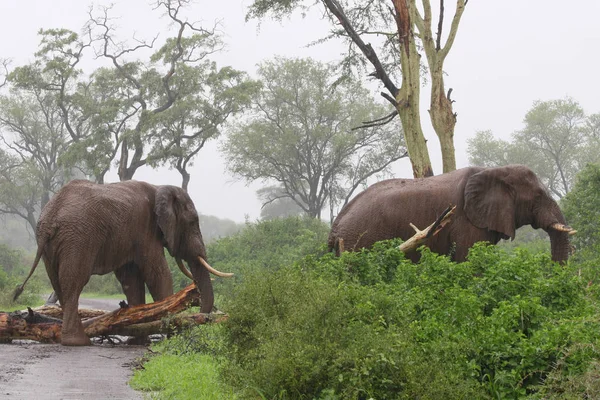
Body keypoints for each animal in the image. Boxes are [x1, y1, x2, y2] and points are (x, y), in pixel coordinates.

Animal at [12, 180, 232, 346]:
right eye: (193, 222)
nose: (203, 315)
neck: (159, 187)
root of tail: (50, 215)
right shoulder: (146, 228)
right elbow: (157, 272)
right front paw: (172, 334)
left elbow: (131, 280)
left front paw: (138, 339)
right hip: (78, 238)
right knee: (73, 282)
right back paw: (78, 341)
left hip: (52, 245)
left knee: (57, 282)